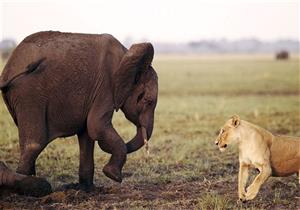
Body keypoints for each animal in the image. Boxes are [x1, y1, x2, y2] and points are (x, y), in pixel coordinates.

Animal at [0, 30, 158, 190]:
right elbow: (96, 126)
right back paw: (33, 187)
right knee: (34, 143)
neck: (126, 56)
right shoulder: (105, 87)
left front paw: (87, 189)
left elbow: (87, 135)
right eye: (147, 101)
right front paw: (113, 176)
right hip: (30, 95)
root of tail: (8, 69)